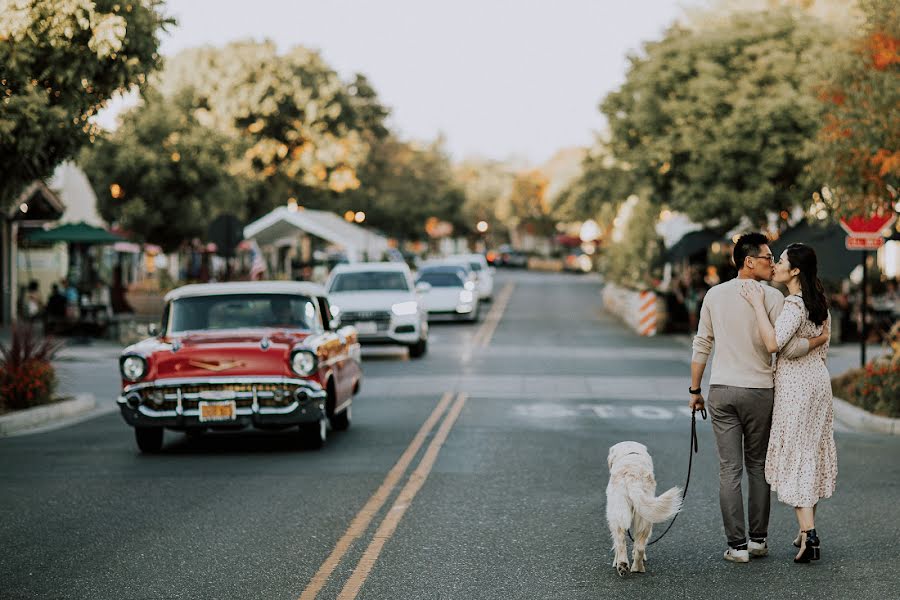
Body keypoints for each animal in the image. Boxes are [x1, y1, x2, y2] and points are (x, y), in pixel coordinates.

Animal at [604, 440, 684, 576]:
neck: (631, 453)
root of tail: (632, 476)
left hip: (618, 515)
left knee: (621, 541)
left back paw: (626, 565)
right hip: (643, 516)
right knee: (639, 546)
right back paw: (633, 567)